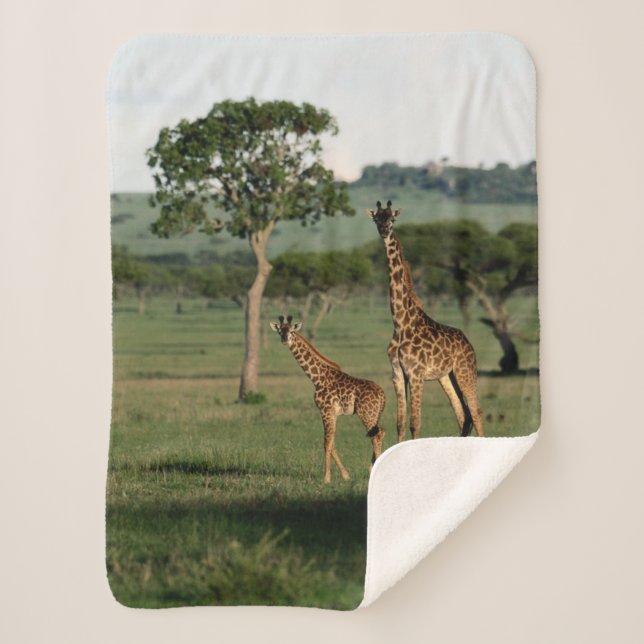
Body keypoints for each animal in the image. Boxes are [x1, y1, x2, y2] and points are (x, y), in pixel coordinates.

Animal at [270, 315, 386, 483]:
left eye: (291, 331)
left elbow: (326, 443)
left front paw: (326, 478)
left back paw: (374, 472)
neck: (317, 378)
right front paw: (345, 475)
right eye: (280, 331)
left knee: (376, 436)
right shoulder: (332, 413)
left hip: (366, 414)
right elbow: (332, 442)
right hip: (375, 414)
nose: (285, 340)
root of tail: (382, 395)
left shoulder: (326, 410)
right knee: (380, 433)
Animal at [368, 200, 484, 441]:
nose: (383, 231)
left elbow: (415, 423)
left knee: (476, 412)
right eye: (377, 219)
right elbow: (400, 423)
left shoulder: (416, 373)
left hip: (465, 371)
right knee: (463, 415)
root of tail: (468, 343)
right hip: (447, 377)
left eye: (392, 220)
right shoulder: (397, 374)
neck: (400, 323)